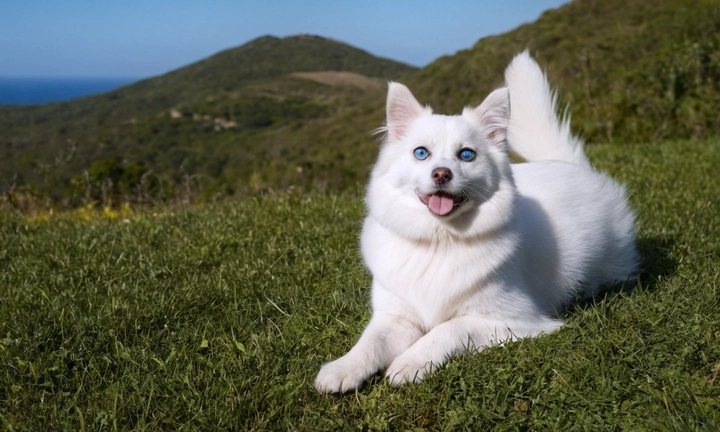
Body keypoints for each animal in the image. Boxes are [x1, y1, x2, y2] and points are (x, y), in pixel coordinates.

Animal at [314, 52, 636, 394]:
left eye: (466, 155)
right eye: (421, 153)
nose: (442, 174)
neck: (440, 240)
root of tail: (571, 164)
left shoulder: (516, 320)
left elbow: (447, 329)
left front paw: (409, 363)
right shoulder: (395, 317)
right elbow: (370, 342)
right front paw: (343, 368)